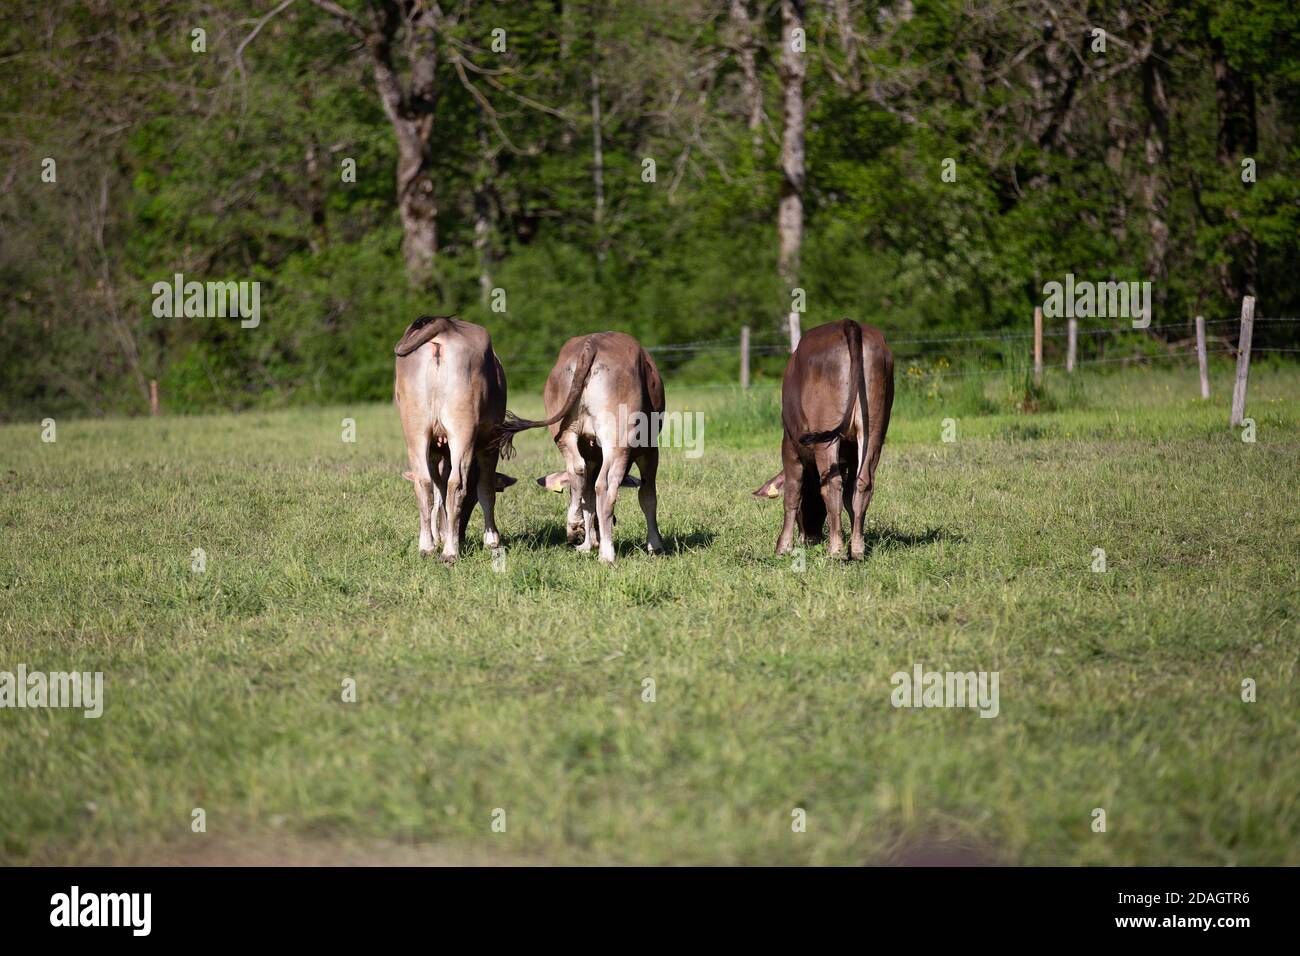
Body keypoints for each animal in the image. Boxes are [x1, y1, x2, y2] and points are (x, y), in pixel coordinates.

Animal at [394, 315, 509, 563]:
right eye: (471, 502)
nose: (462, 533)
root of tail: (444, 326)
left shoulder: (436, 452)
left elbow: (439, 489)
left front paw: (441, 535)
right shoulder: (489, 445)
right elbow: (485, 489)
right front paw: (491, 539)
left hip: (416, 430)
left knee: (423, 483)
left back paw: (427, 547)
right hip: (462, 430)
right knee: (457, 484)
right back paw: (450, 552)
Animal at [493, 332, 665, 564]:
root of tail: (591, 343)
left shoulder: (591, 455)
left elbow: (588, 498)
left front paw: (587, 542)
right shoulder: (649, 449)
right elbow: (647, 496)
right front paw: (655, 545)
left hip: (565, 431)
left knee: (578, 470)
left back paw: (574, 526)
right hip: (617, 439)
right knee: (605, 486)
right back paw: (607, 553)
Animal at [762, 319, 894, 560]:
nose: (810, 537)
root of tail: (848, 323)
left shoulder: (789, 445)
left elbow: (792, 493)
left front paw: (783, 546)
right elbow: (850, 497)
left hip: (824, 437)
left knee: (832, 485)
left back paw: (836, 550)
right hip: (875, 428)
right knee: (863, 483)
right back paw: (857, 549)